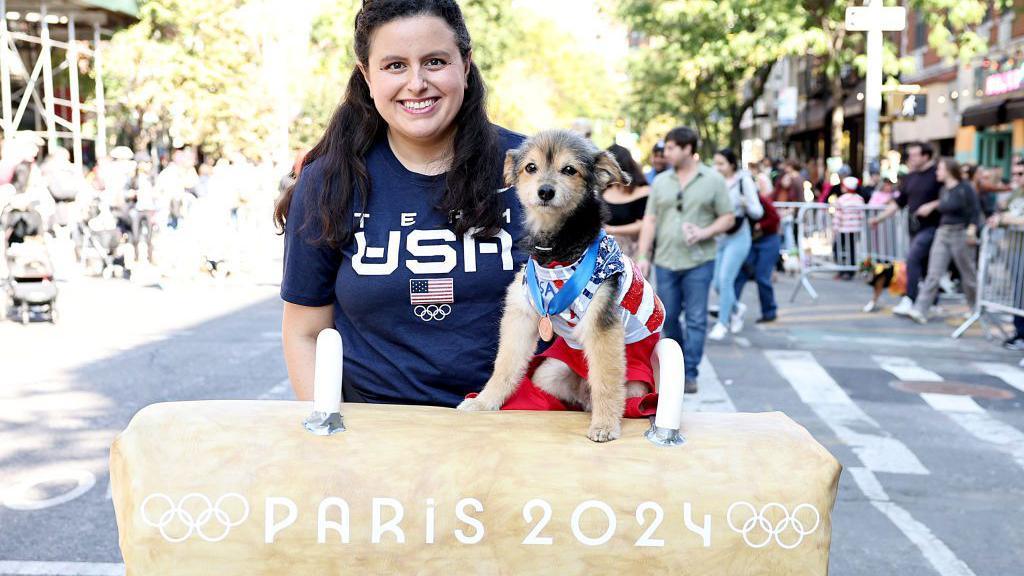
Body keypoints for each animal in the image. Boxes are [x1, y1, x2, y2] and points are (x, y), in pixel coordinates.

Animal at [456, 129, 663, 438]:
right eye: (531, 167)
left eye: (569, 170)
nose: (545, 191)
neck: (557, 252)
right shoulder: (522, 313)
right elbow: (505, 365)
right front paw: (484, 402)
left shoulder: (602, 323)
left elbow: (607, 380)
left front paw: (605, 425)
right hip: (549, 372)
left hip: (636, 384)